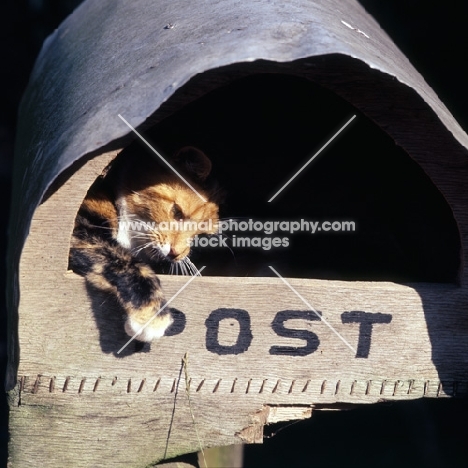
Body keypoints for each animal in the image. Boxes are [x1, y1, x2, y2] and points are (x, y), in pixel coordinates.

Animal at [70, 144, 221, 342]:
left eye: (200, 235)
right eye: (177, 212)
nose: (176, 253)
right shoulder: (82, 229)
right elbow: (125, 262)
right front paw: (151, 315)